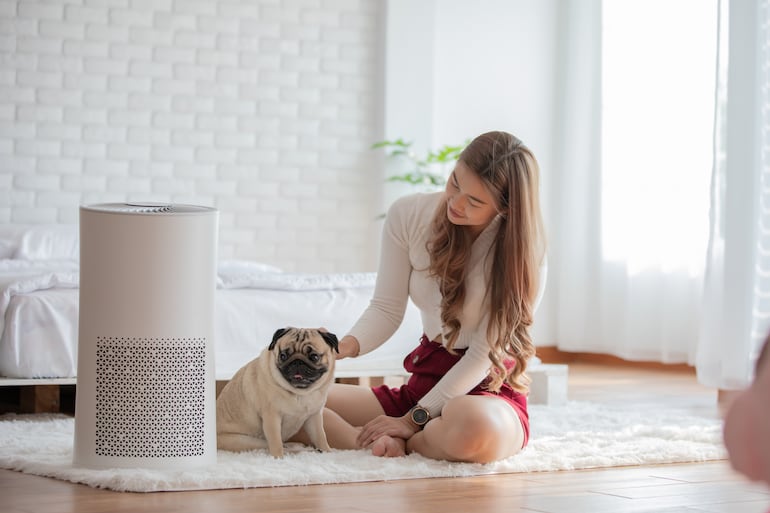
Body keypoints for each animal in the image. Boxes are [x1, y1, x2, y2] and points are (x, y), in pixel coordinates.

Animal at [214, 328, 338, 456]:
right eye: (283, 356)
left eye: (314, 357)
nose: (297, 362)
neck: (299, 393)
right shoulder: (272, 417)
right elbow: (276, 442)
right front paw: (278, 457)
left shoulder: (314, 417)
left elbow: (320, 436)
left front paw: (327, 451)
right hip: (248, 441)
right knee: (277, 447)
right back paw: (302, 450)